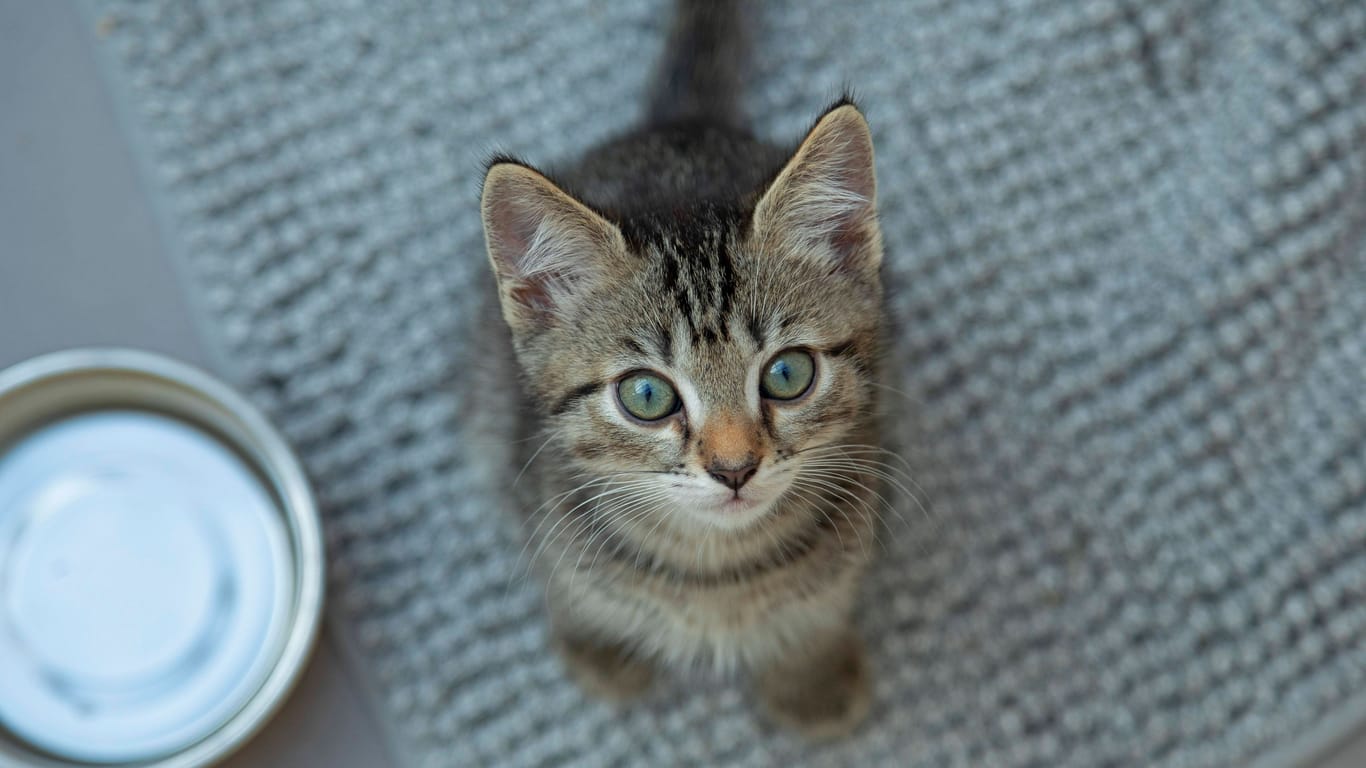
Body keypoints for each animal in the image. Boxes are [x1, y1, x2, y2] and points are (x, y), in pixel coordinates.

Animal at [480, 1, 885, 743]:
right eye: (646, 395)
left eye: (788, 375)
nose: (734, 469)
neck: (715, 572)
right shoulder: (530, 488)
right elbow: (568, 584)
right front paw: (599, 648)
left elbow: (822, 601)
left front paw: (809, 675)